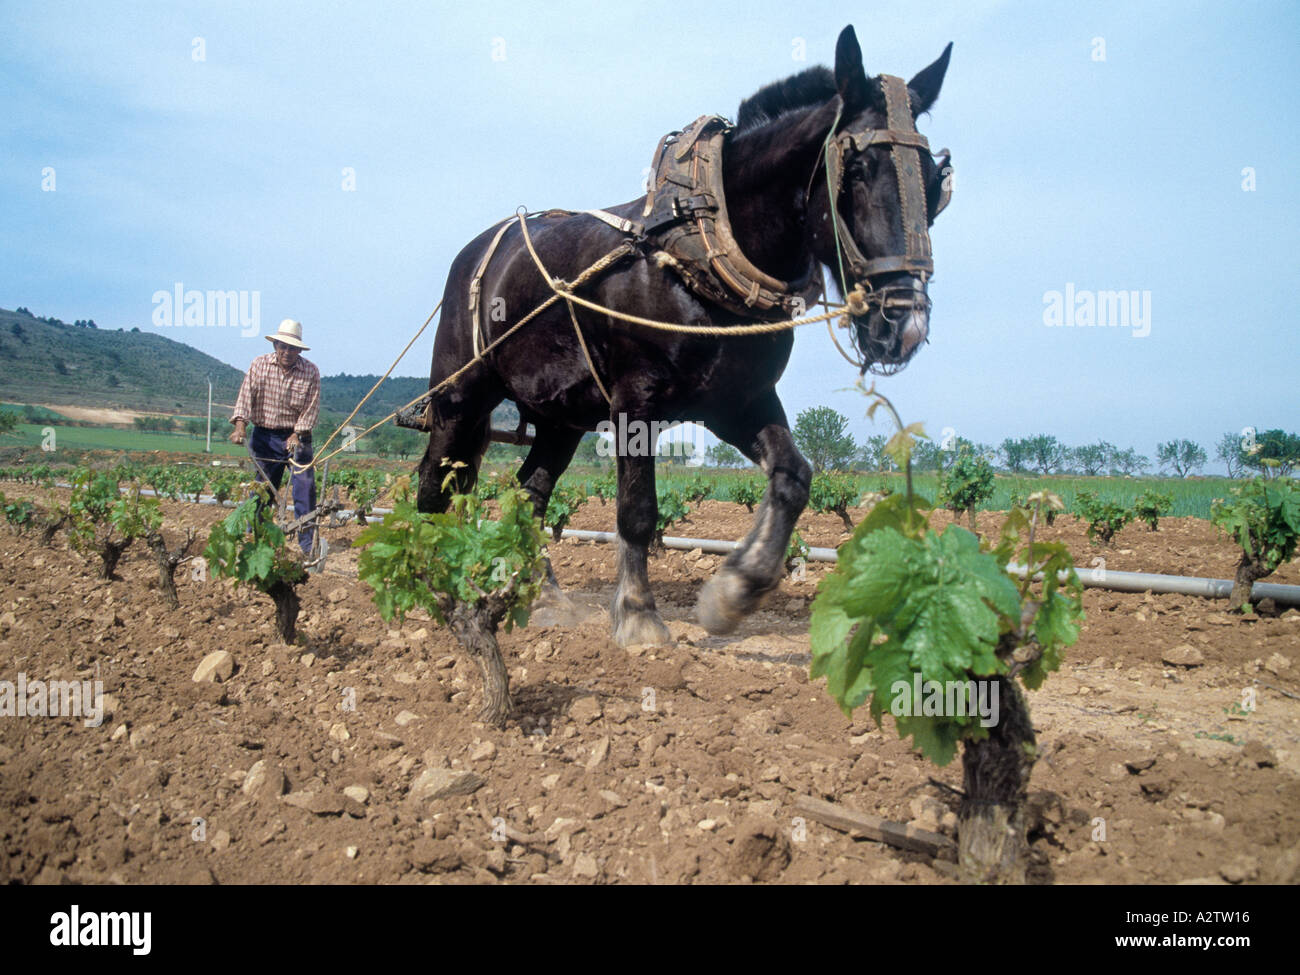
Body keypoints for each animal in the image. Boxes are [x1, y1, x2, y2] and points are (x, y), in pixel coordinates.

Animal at [416, 24, 956, 650]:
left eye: (936, 185)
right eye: (858, 171)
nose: (905, 324)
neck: (701, 243)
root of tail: (479, 249)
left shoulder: (738, 400)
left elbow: (794, 477)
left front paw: (736, 589)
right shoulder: (636, 402)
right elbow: (637, 510)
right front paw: (638, 615)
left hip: (560, 418)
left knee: (528, 494)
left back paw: (541, 594)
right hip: (461, 393)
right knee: (435, 481)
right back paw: (431, 584)